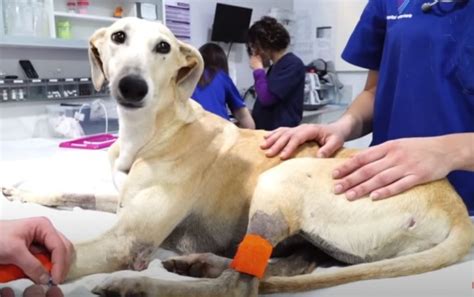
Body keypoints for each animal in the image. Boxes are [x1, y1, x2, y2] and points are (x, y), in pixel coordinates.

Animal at [1, 17, 472, 294]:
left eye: (164, 47)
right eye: (118, 37)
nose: (132, 87)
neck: (151, 133)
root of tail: (456, 209)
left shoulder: (128, 240)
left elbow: (63, 256)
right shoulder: (121, 201)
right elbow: (70, 193)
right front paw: (21, 191)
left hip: (280, 180)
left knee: (237, 287)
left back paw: (144, 285)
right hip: (316, 239)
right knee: (282, 268)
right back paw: (199, 262)